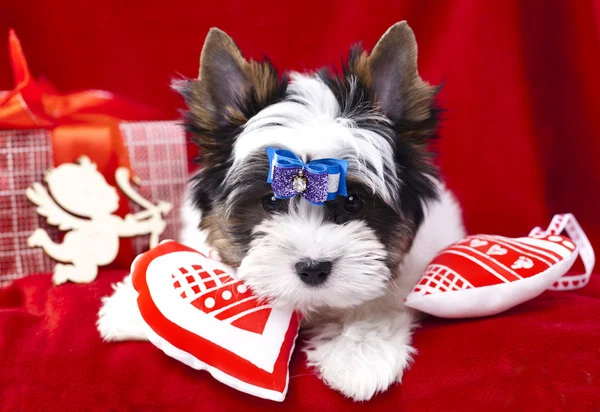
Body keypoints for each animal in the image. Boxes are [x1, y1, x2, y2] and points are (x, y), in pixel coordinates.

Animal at [97, 20, 464, 400]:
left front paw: (360, 355)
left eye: (352, 202)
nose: (313, 269)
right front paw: (130, 309)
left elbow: (377, 302)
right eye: (271, 201)